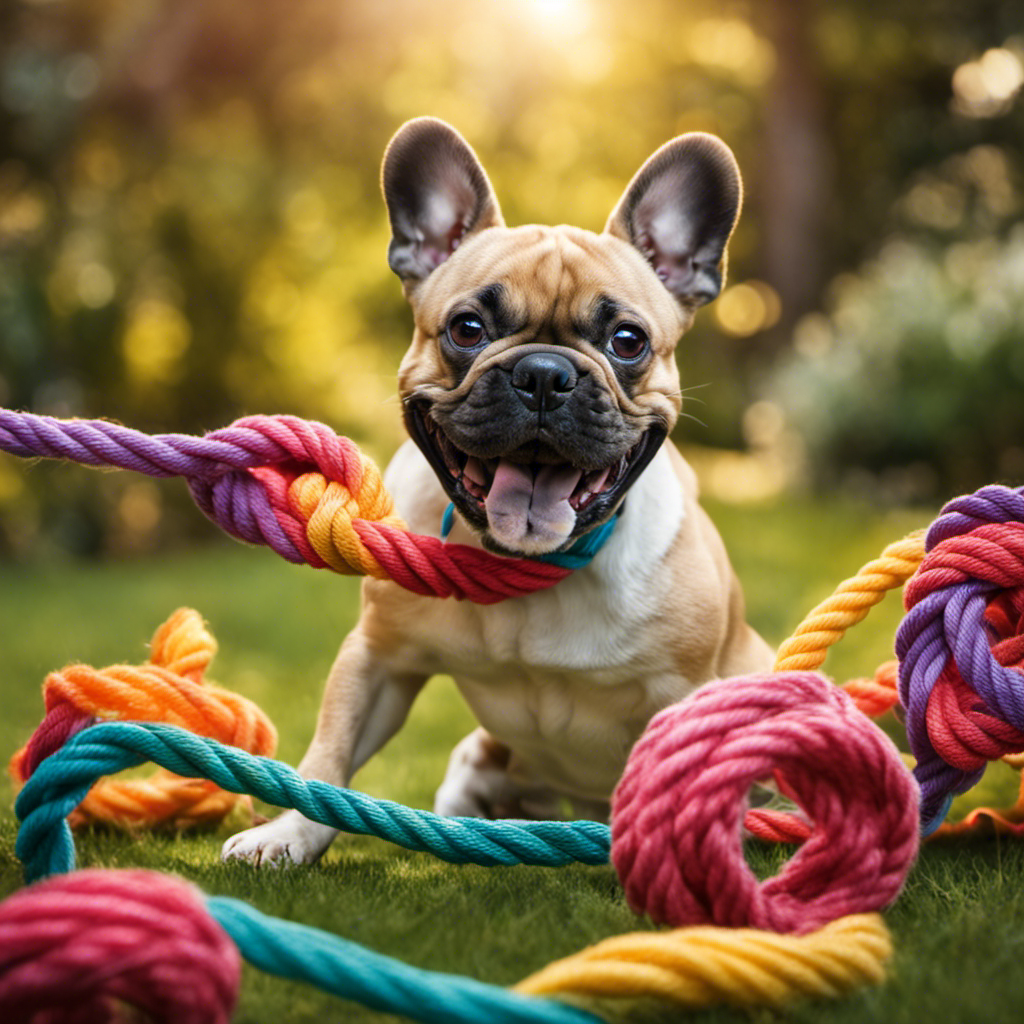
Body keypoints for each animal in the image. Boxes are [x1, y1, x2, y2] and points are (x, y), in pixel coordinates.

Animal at [222, 117, 770, 864]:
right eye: (467, 329)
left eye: (628, 340)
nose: (543, 374)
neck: (527, 570)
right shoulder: (377, 658)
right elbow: (329, 756)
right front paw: (289, 833)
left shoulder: (685, 691)